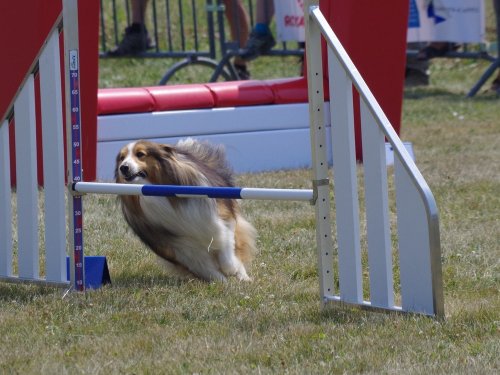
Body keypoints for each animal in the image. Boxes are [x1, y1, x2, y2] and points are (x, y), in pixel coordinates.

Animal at [115, 139, 256, 282]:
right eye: (122, 158)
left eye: (140, 154)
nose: (123, 167)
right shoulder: (180, 248)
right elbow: (205, 267)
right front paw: (221, 282)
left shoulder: (220, 218)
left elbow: (225, 243)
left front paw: (231, 268)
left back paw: (244, 277)